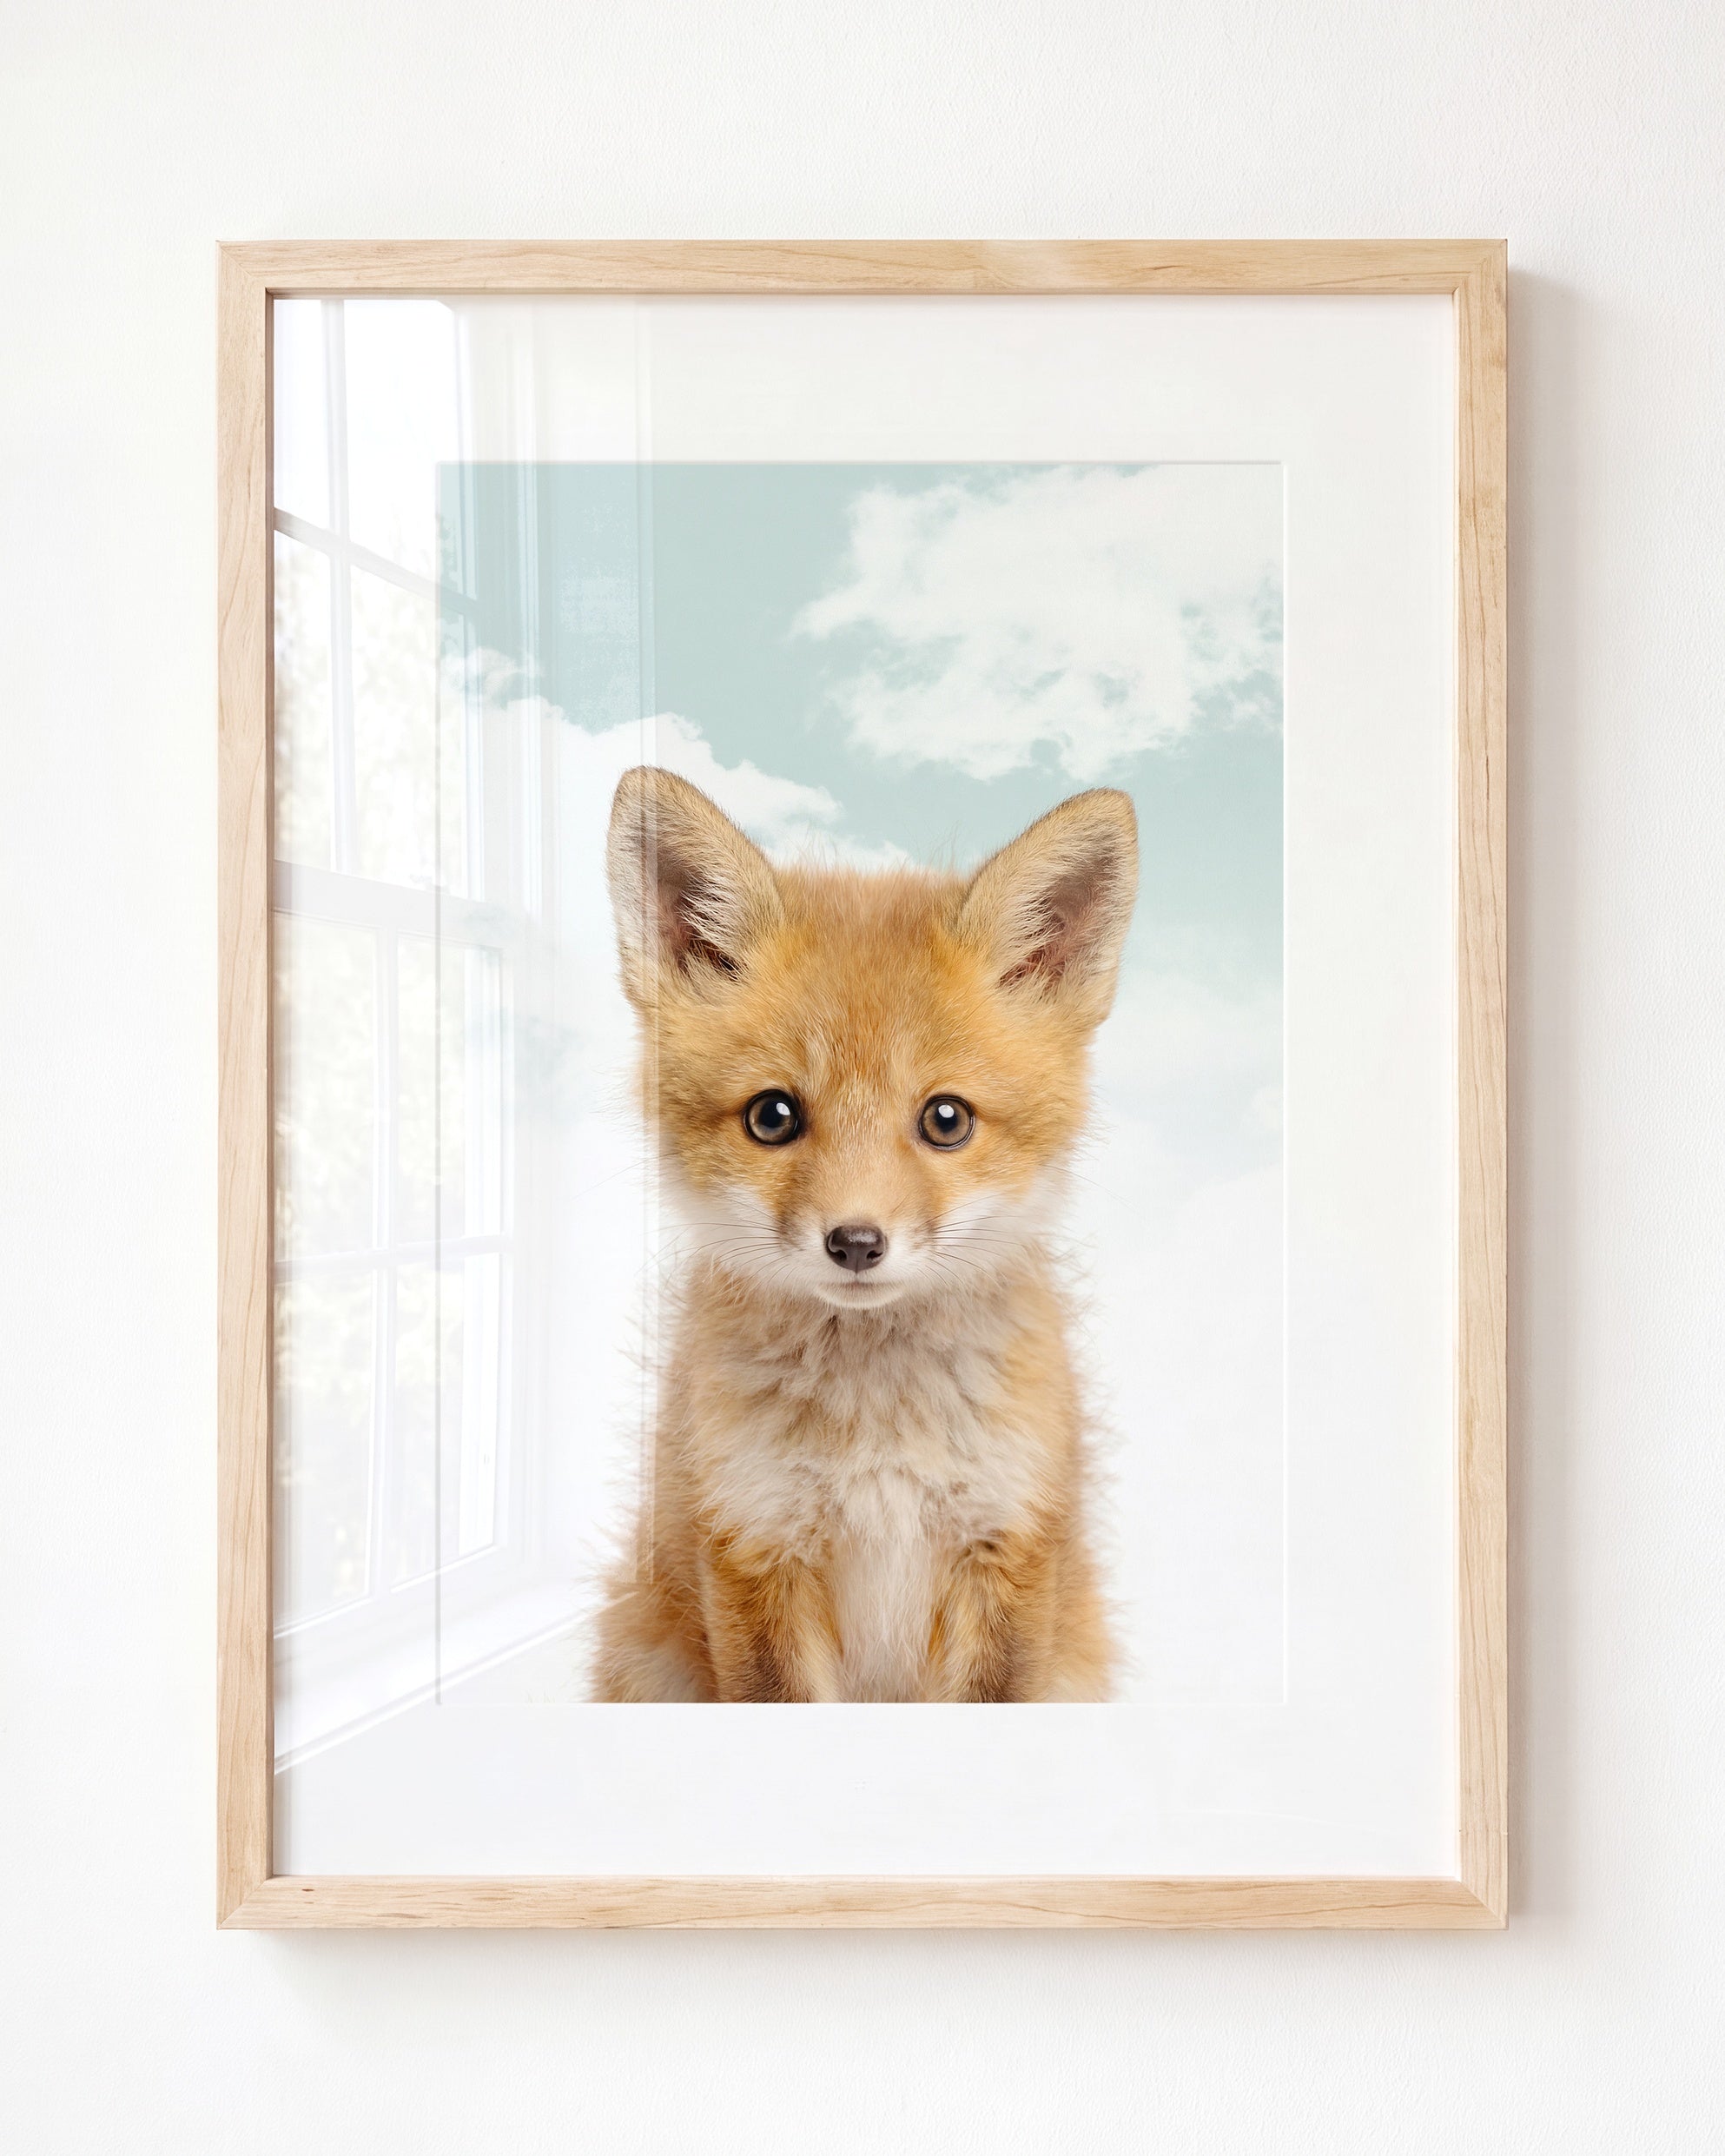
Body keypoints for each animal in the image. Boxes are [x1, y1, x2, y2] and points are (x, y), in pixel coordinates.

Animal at [590, 765, 1139, 1703]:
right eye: (772, 1116)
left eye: (946, 1120)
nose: (854, 1243)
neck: (877, 1441)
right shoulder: (754, 1545)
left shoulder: (1006, 1546)